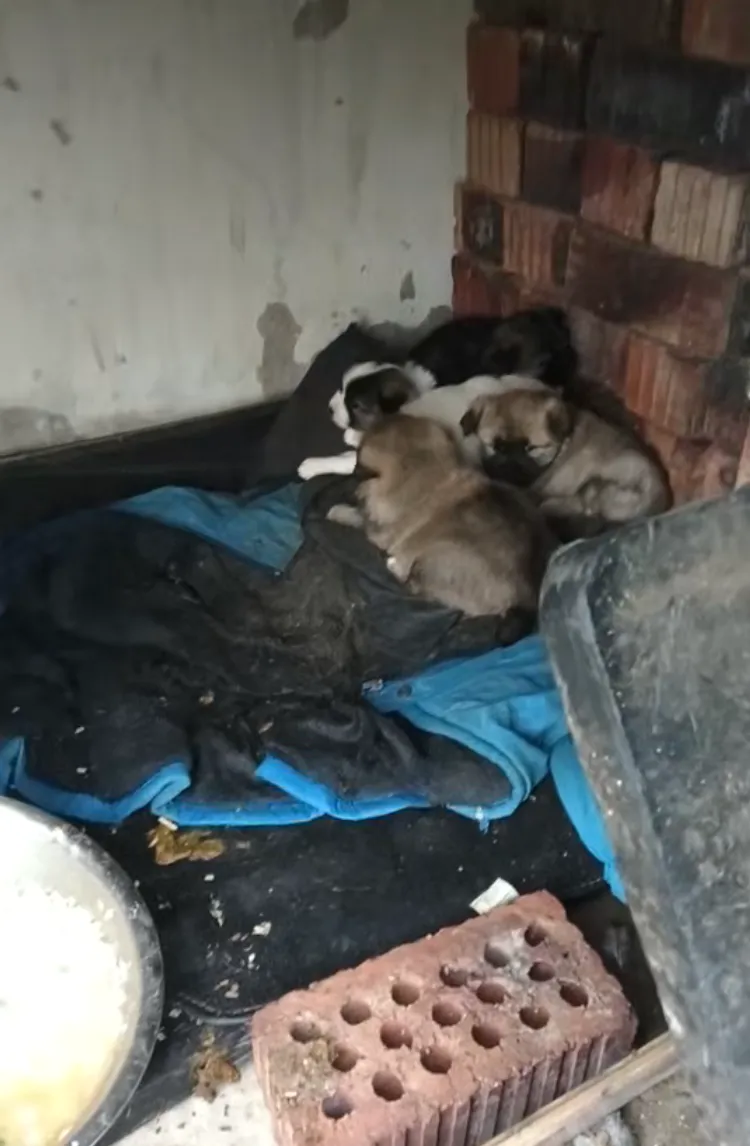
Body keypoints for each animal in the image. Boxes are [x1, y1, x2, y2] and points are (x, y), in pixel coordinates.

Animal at [326, 415, 557, 638]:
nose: (353, 477)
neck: (422, 467)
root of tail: (527, 603)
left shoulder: (380, 532)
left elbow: (358, 517)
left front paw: (338, 510)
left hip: (431, 559)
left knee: (413, 584)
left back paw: (394, 565)